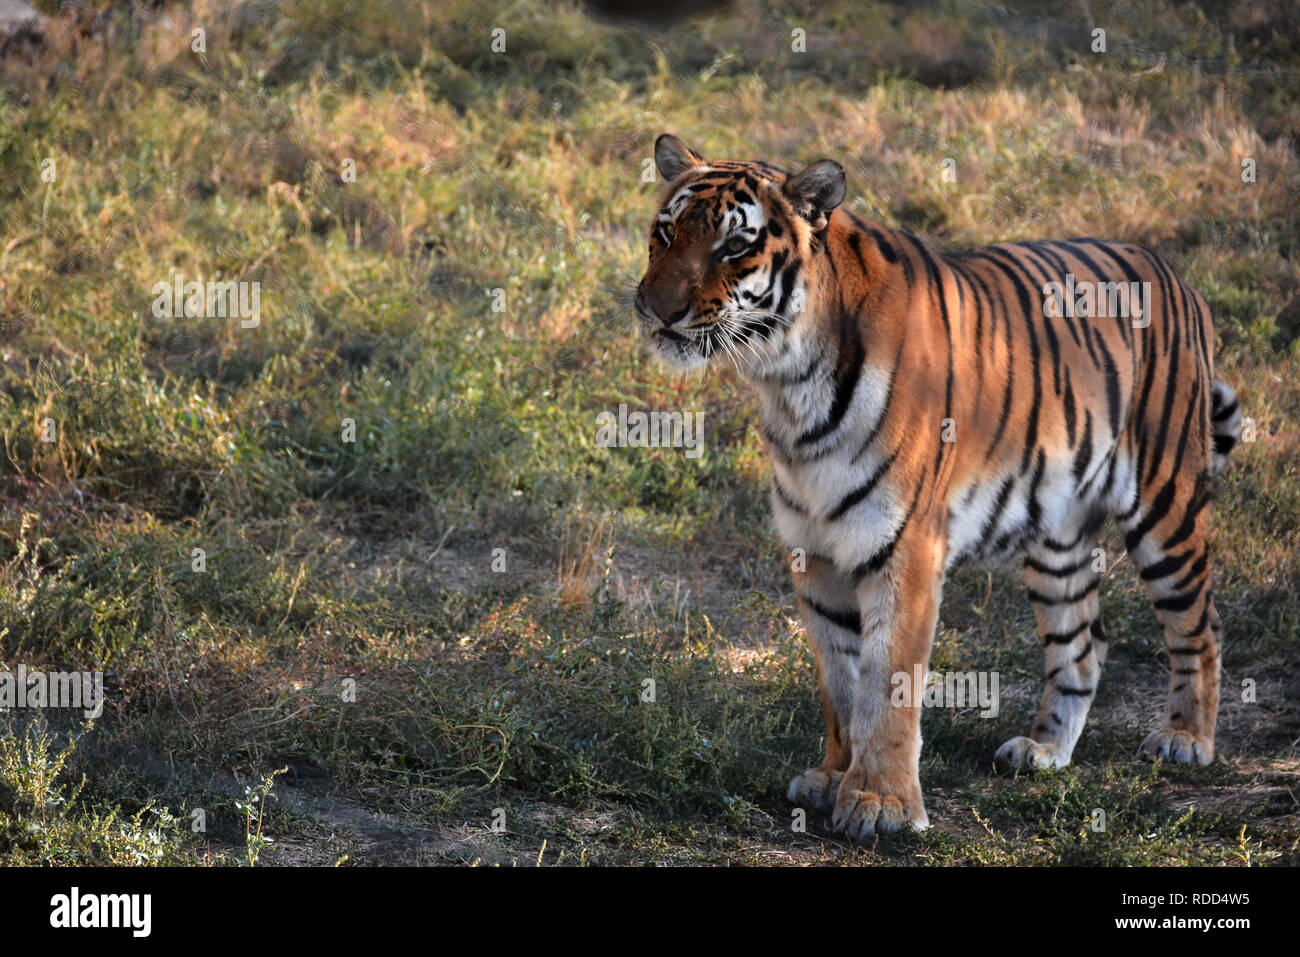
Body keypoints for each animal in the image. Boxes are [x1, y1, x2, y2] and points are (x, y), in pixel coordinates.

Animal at [634, 132, 1242, 837]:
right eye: (667, 231)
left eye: (734, 245)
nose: (657, 309)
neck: (788, 385)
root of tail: (1176, 274)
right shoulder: (814, 552)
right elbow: (840, 682)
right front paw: (833, 778)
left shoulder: (904, 546)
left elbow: (889, 681)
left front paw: (881, 803)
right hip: (1058, 538)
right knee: (1085, 644)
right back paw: (1045, 750)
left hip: (1166, 506)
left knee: (1201, 625)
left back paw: (1186, 739)